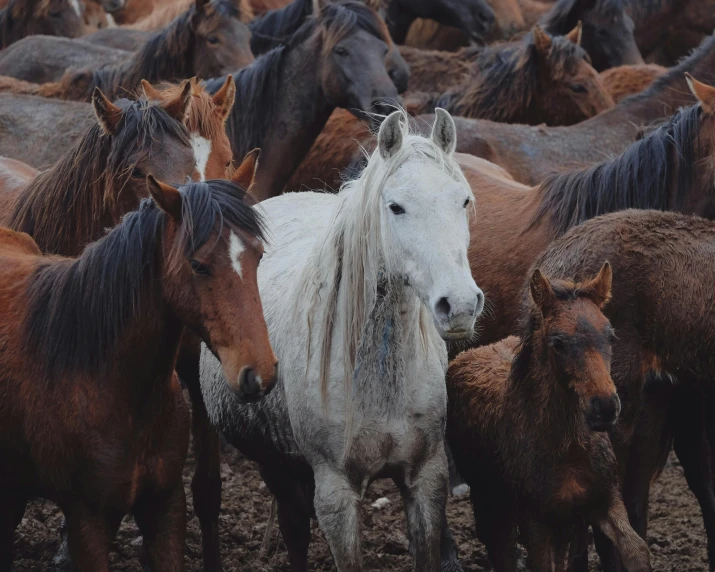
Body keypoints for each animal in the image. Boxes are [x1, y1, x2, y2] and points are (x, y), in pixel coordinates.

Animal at [199, 108, 484, 572]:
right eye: (396, 207)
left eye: (463, 201)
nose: (458, 304)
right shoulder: (335, 493)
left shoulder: (426, 478)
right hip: (275, 466)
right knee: (294, 528)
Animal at [448, 264, 656, 572]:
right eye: (557, 342)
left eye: (610, 336)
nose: (605, 407)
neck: (569, 450)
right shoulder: (535, 522)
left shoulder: (604, 501)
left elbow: (637, 550)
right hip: (490, 500)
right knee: (500, 550)